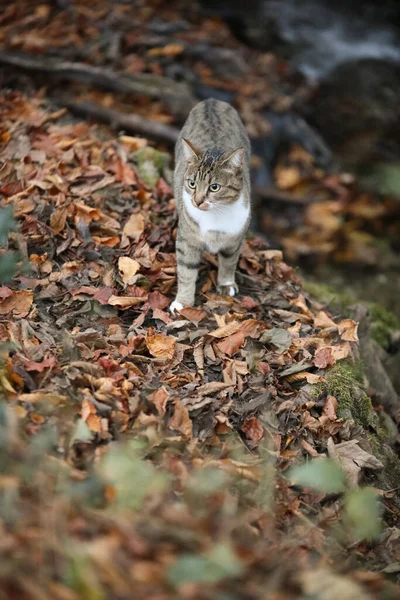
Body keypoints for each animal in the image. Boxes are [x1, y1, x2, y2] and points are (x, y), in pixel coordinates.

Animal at [170, 97, 252, 314]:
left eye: (214, 187)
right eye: (192, 183)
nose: (197, 201)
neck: (215, 215)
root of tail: (212, 100)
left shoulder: (236, 238)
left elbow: (229, 262)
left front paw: (226, 284)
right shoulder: (187, 240)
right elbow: (186, 271)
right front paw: (183, 302)